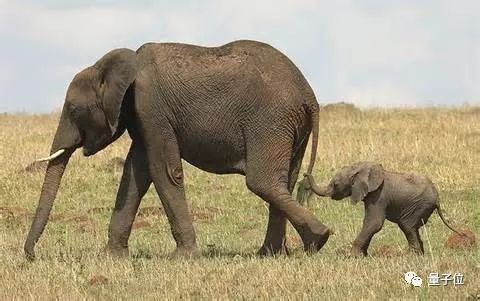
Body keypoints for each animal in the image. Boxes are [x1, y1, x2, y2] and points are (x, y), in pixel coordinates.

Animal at [25, 39, 330, 258]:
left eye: (74, 109)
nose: (31, 256)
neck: (115, 65)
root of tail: (310, 96)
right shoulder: (141, 118)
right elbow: (135, 175)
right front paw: (111, 258)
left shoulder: (151, 108)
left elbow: (164, 172)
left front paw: (182, 257)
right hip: (289, 126)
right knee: (283, 182)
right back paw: (275, 253)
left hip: (270, 122)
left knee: (262, 182)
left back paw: (318, 239)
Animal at [300, 161, 462, 256]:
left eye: (335, 184)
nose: (305, 173)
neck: (360, 168)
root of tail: (437, 198)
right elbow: (370, 223)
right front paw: (363, 256)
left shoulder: (378, 196)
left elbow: (374, 223)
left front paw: (352, 256)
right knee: (413, 228)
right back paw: (420, 254)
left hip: (419, 205)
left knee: (407, 226)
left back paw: (411, 256)